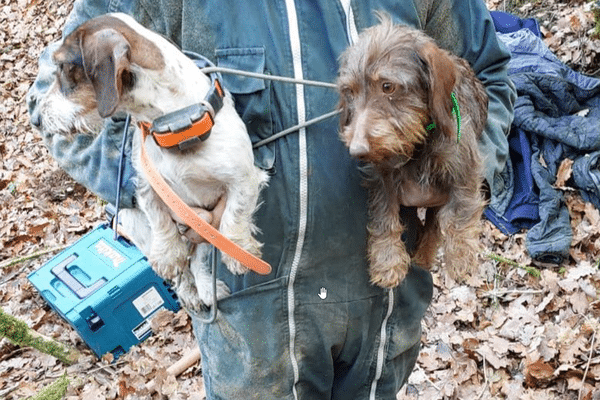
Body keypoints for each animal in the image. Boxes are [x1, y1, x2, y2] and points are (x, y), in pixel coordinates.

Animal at [29, 11, 270, 306]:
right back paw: (189, 292)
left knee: (197, 259)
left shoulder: (244, 179)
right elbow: (161, 222)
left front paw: (240, 249)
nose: (36, 119)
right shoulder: (147, 186)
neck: (175, 126)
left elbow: (234, 216)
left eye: (63, 66)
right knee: (184, 268)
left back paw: (205, 288)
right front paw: (166, 256)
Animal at [338, 14, 488, 288]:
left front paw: (460, 254)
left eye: (387, 86)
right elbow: (383, 215)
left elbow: (459, 211)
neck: (417, 141)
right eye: (349, 91)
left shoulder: (462, 166)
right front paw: (387, 260)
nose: (357, 151)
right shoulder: (381, 177)